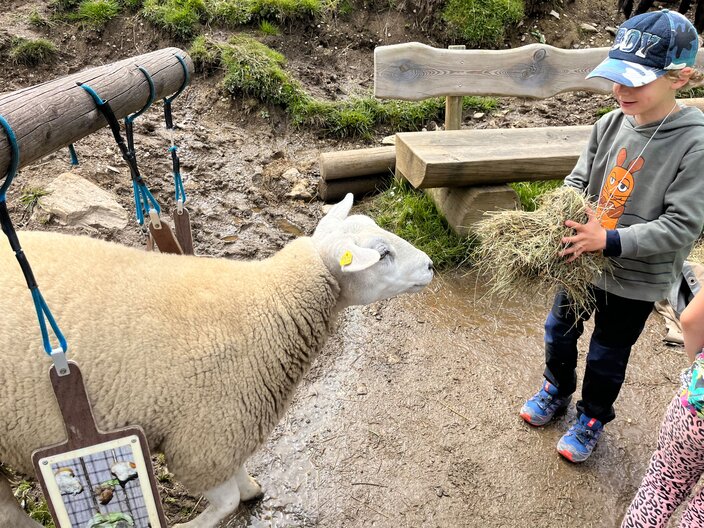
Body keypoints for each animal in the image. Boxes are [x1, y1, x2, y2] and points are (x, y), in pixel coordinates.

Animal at [0, 193, 434, 528]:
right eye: (383, 254)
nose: (430, 264)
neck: (272, 306)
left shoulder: (230, 426)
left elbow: (238, 476)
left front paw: (251, 488)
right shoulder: (204, 438)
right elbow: (225, 502)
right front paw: (200, 520)